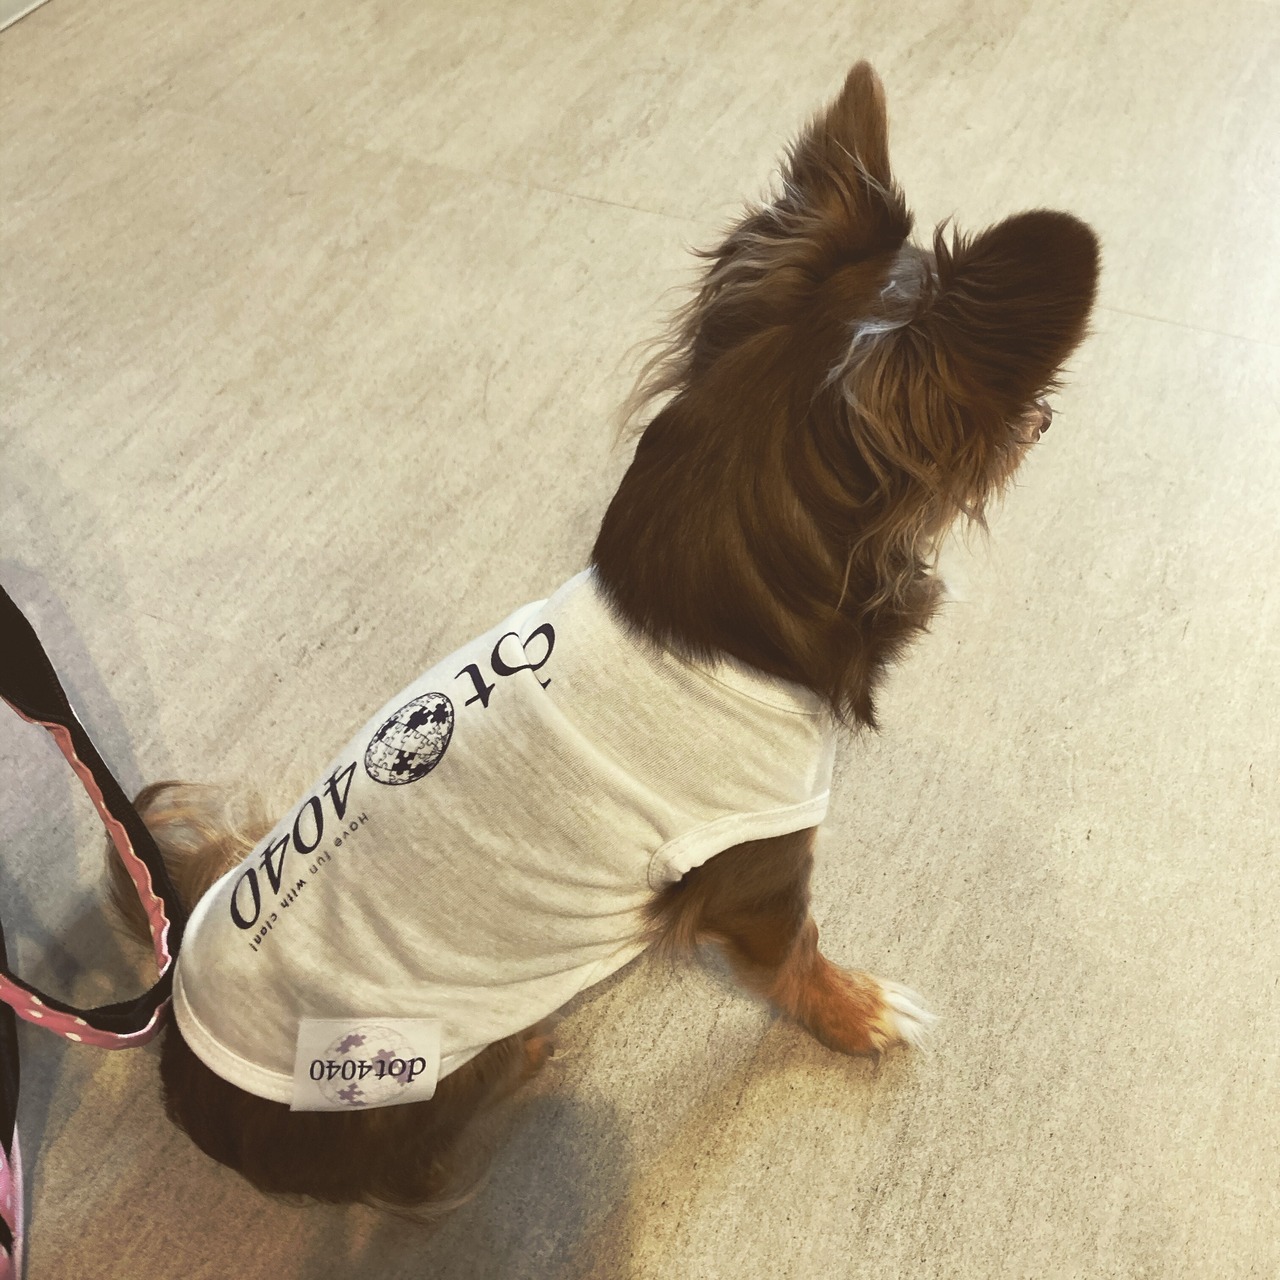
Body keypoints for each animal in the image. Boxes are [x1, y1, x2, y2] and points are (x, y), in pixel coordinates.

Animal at [107, 60, 1099, 1211]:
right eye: (1017, 407)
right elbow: (798, 952)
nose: (1046, 419)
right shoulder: (760, 867)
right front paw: (853, 1012)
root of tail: (180, 1072)